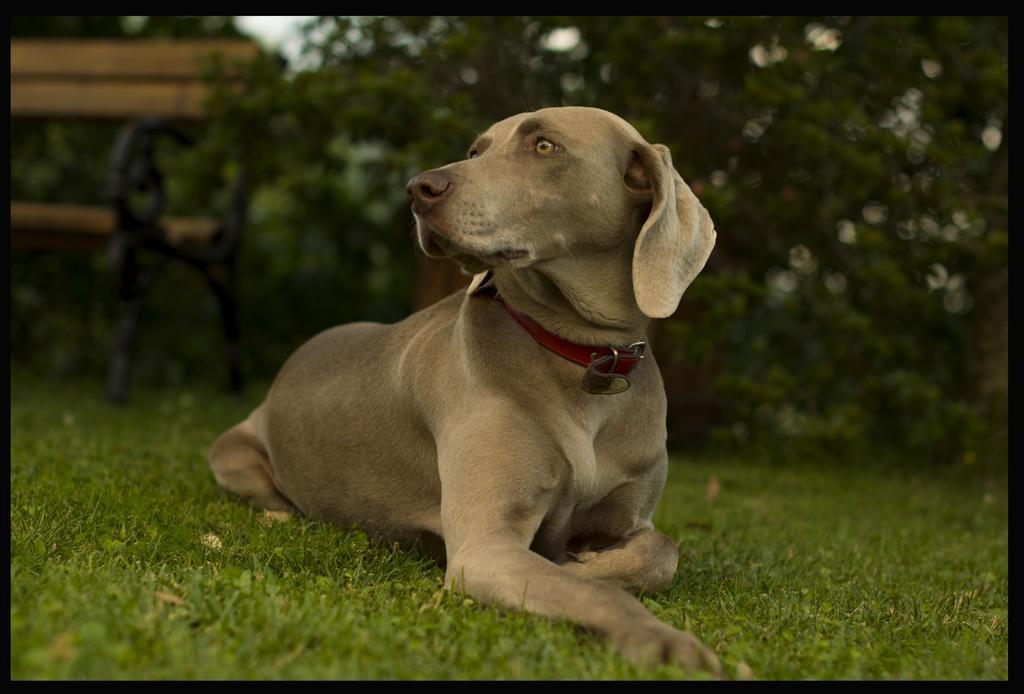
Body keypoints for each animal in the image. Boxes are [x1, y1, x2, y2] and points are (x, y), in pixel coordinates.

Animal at [207, 105, 720, 675]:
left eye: (544, 146)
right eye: (476, 150)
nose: (419, 188)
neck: (584, 358)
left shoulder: (633, 517)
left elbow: (662, 551)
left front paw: (587, 561)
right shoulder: (484, 548)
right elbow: (592, 590)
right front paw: (661, 638)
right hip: (230, 452)